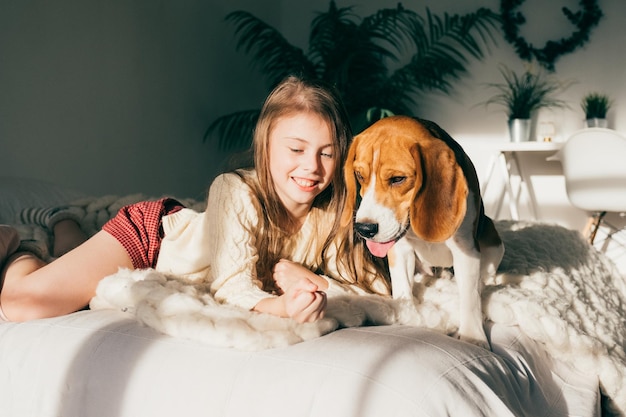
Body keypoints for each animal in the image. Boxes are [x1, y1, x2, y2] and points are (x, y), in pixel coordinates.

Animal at [342, 114, 502, 348]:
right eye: (359, 175)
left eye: (398, 179)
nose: (364, 228)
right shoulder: (400, 249)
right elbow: (402, 287)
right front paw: (407, 315)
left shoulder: (466, 250)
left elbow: (470, 296)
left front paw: (473, 336)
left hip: (493, 237)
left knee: (486, 274)